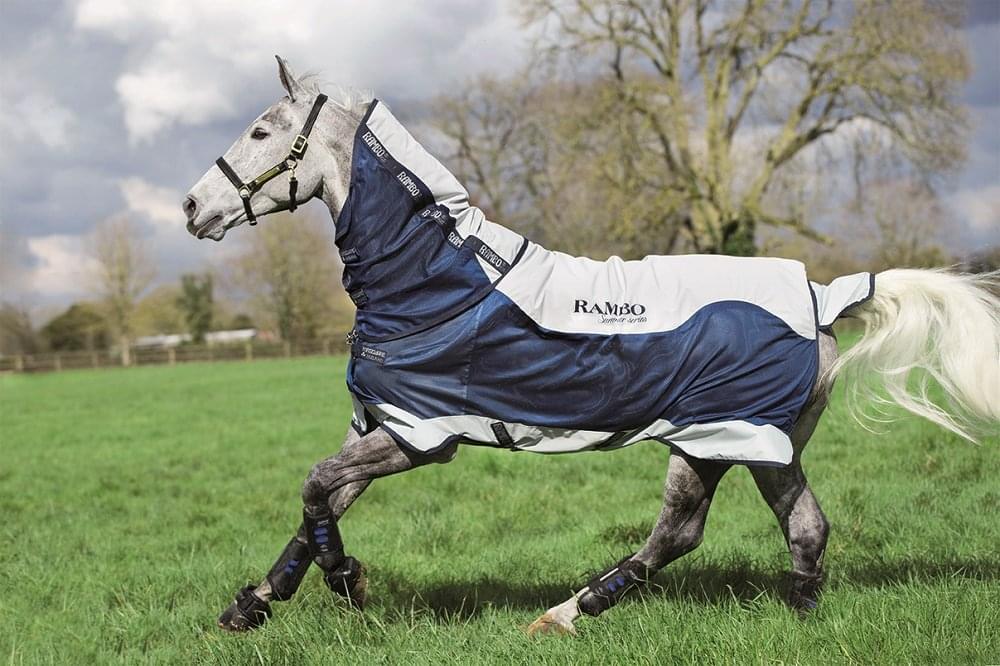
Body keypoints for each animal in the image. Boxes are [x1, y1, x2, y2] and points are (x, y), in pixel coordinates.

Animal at [182, 57, 1000, 634]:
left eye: (261, 132)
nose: (193, 207)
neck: (437, 285)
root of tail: (822, 295)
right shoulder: (383, 425)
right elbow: (321, 497)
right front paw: (255, 603)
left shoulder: (422, 435)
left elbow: (316, 485)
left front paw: (344, 580)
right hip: (752, 444)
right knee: (793, 527)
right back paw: (772, 614)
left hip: (722, 437)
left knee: (685, 531)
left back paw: (567, 613)